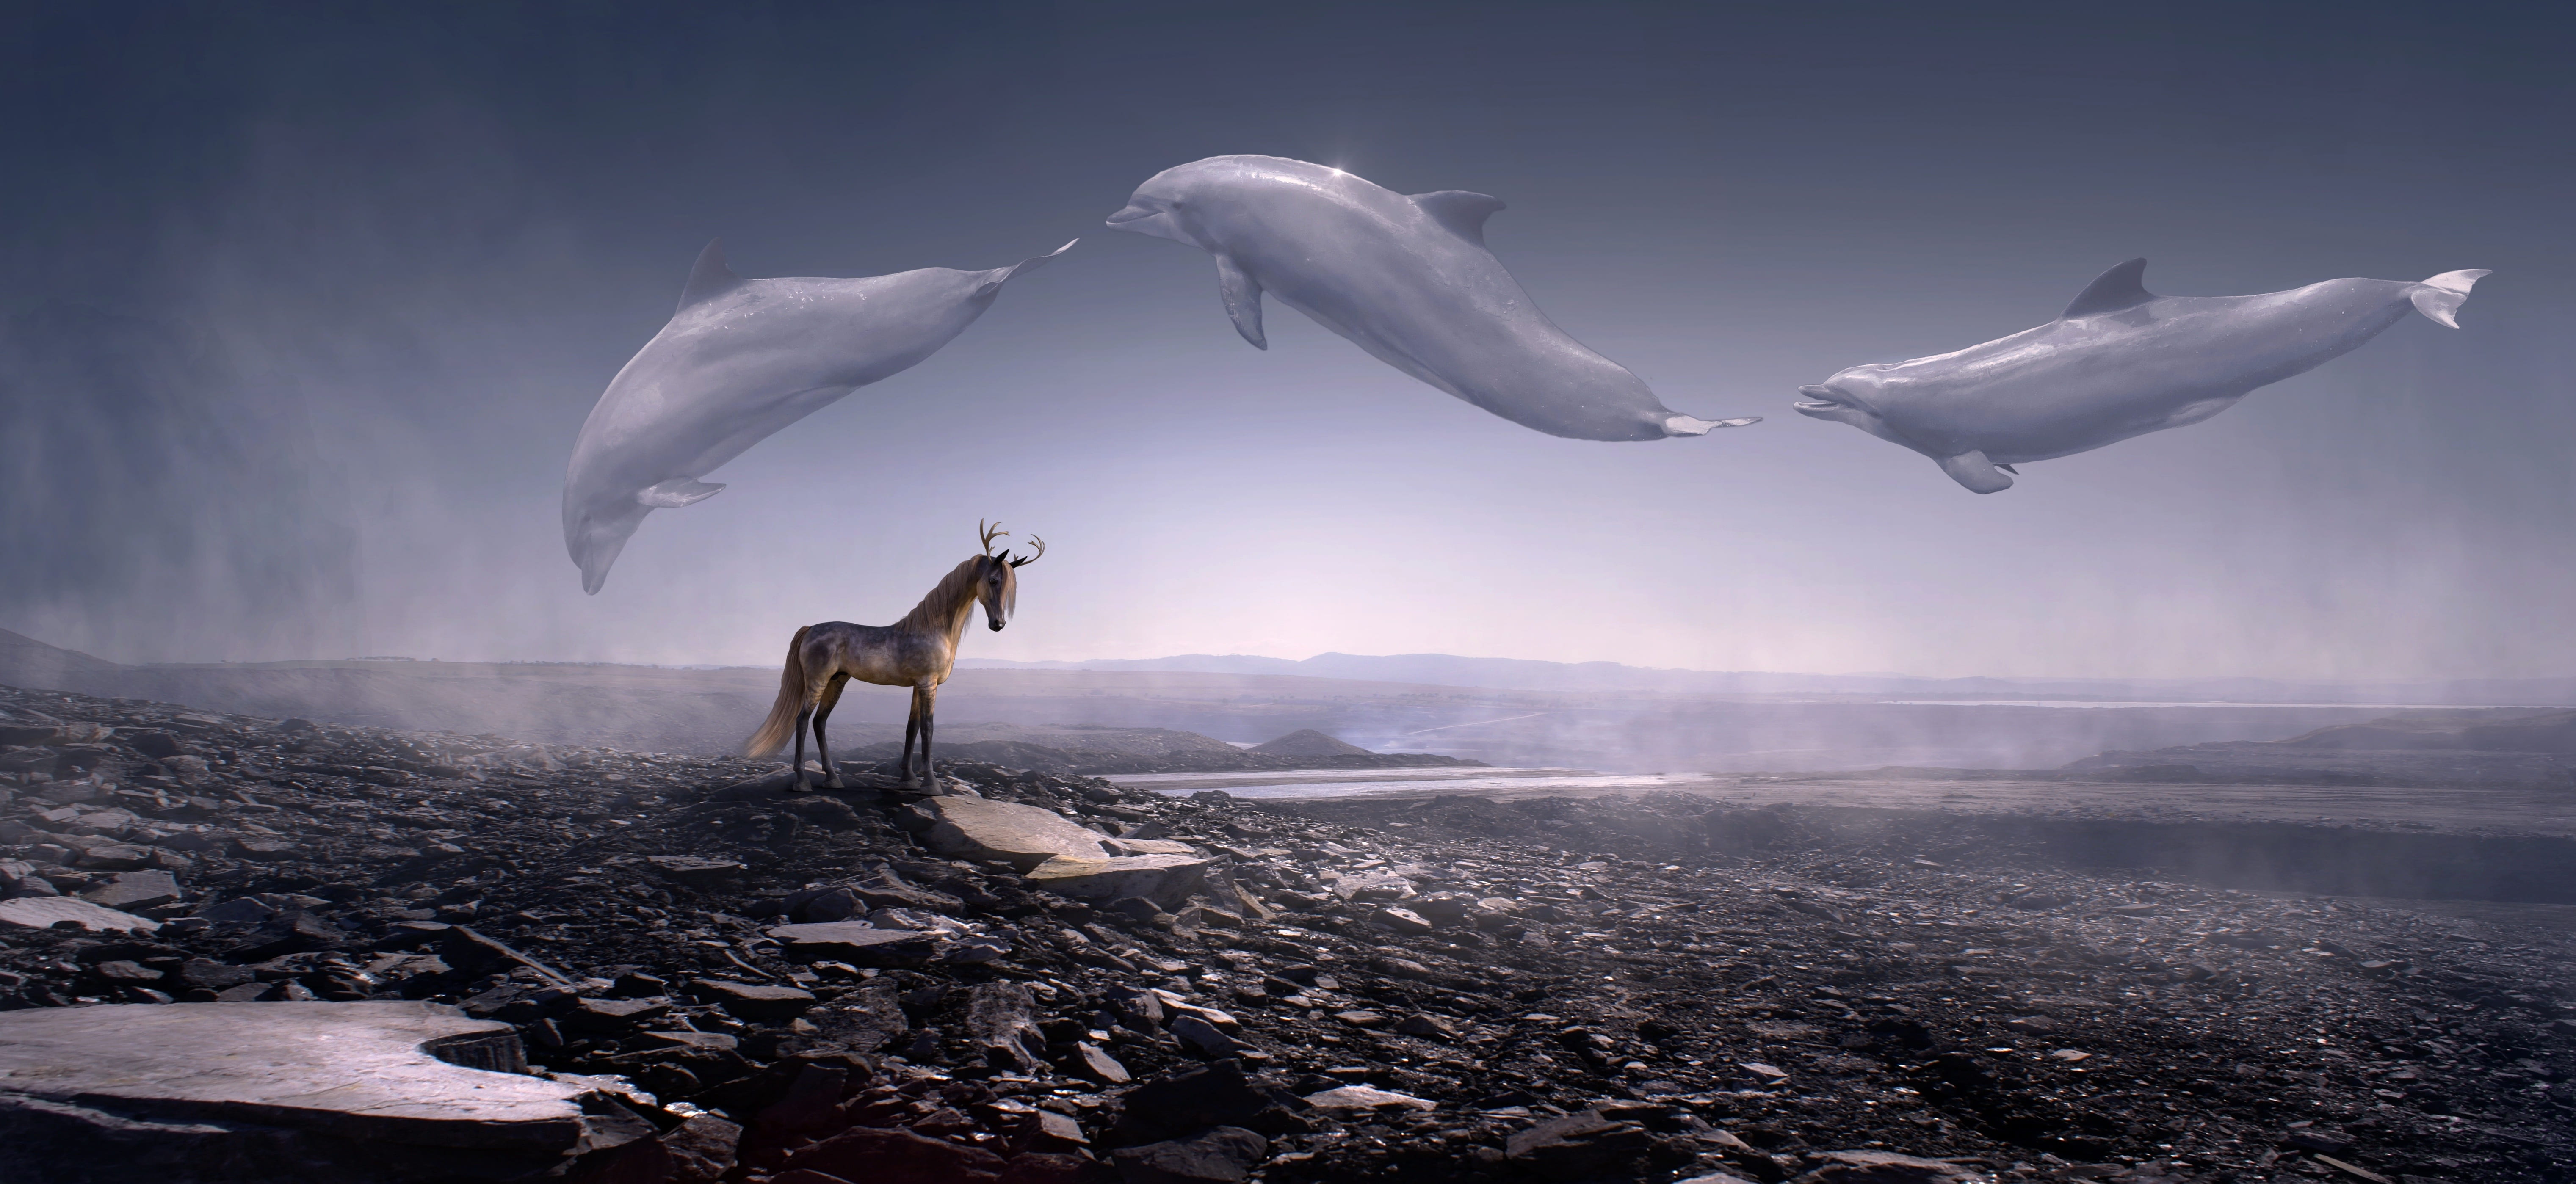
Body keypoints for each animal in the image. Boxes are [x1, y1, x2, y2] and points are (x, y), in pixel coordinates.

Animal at [743, 521, 1042, 791]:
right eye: (993, 580)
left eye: (1008, 589)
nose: (998, 624)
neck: (934, 629)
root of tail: (810, 630)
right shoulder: (928, 684)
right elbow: (928, 728)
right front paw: (931, 784)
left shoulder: (919, 686)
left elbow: (912, 728)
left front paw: (908, 779)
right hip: (818, 681)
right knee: (803, 721)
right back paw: (803, 781)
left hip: (837, 682)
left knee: (820, 723)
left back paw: (833, 779)